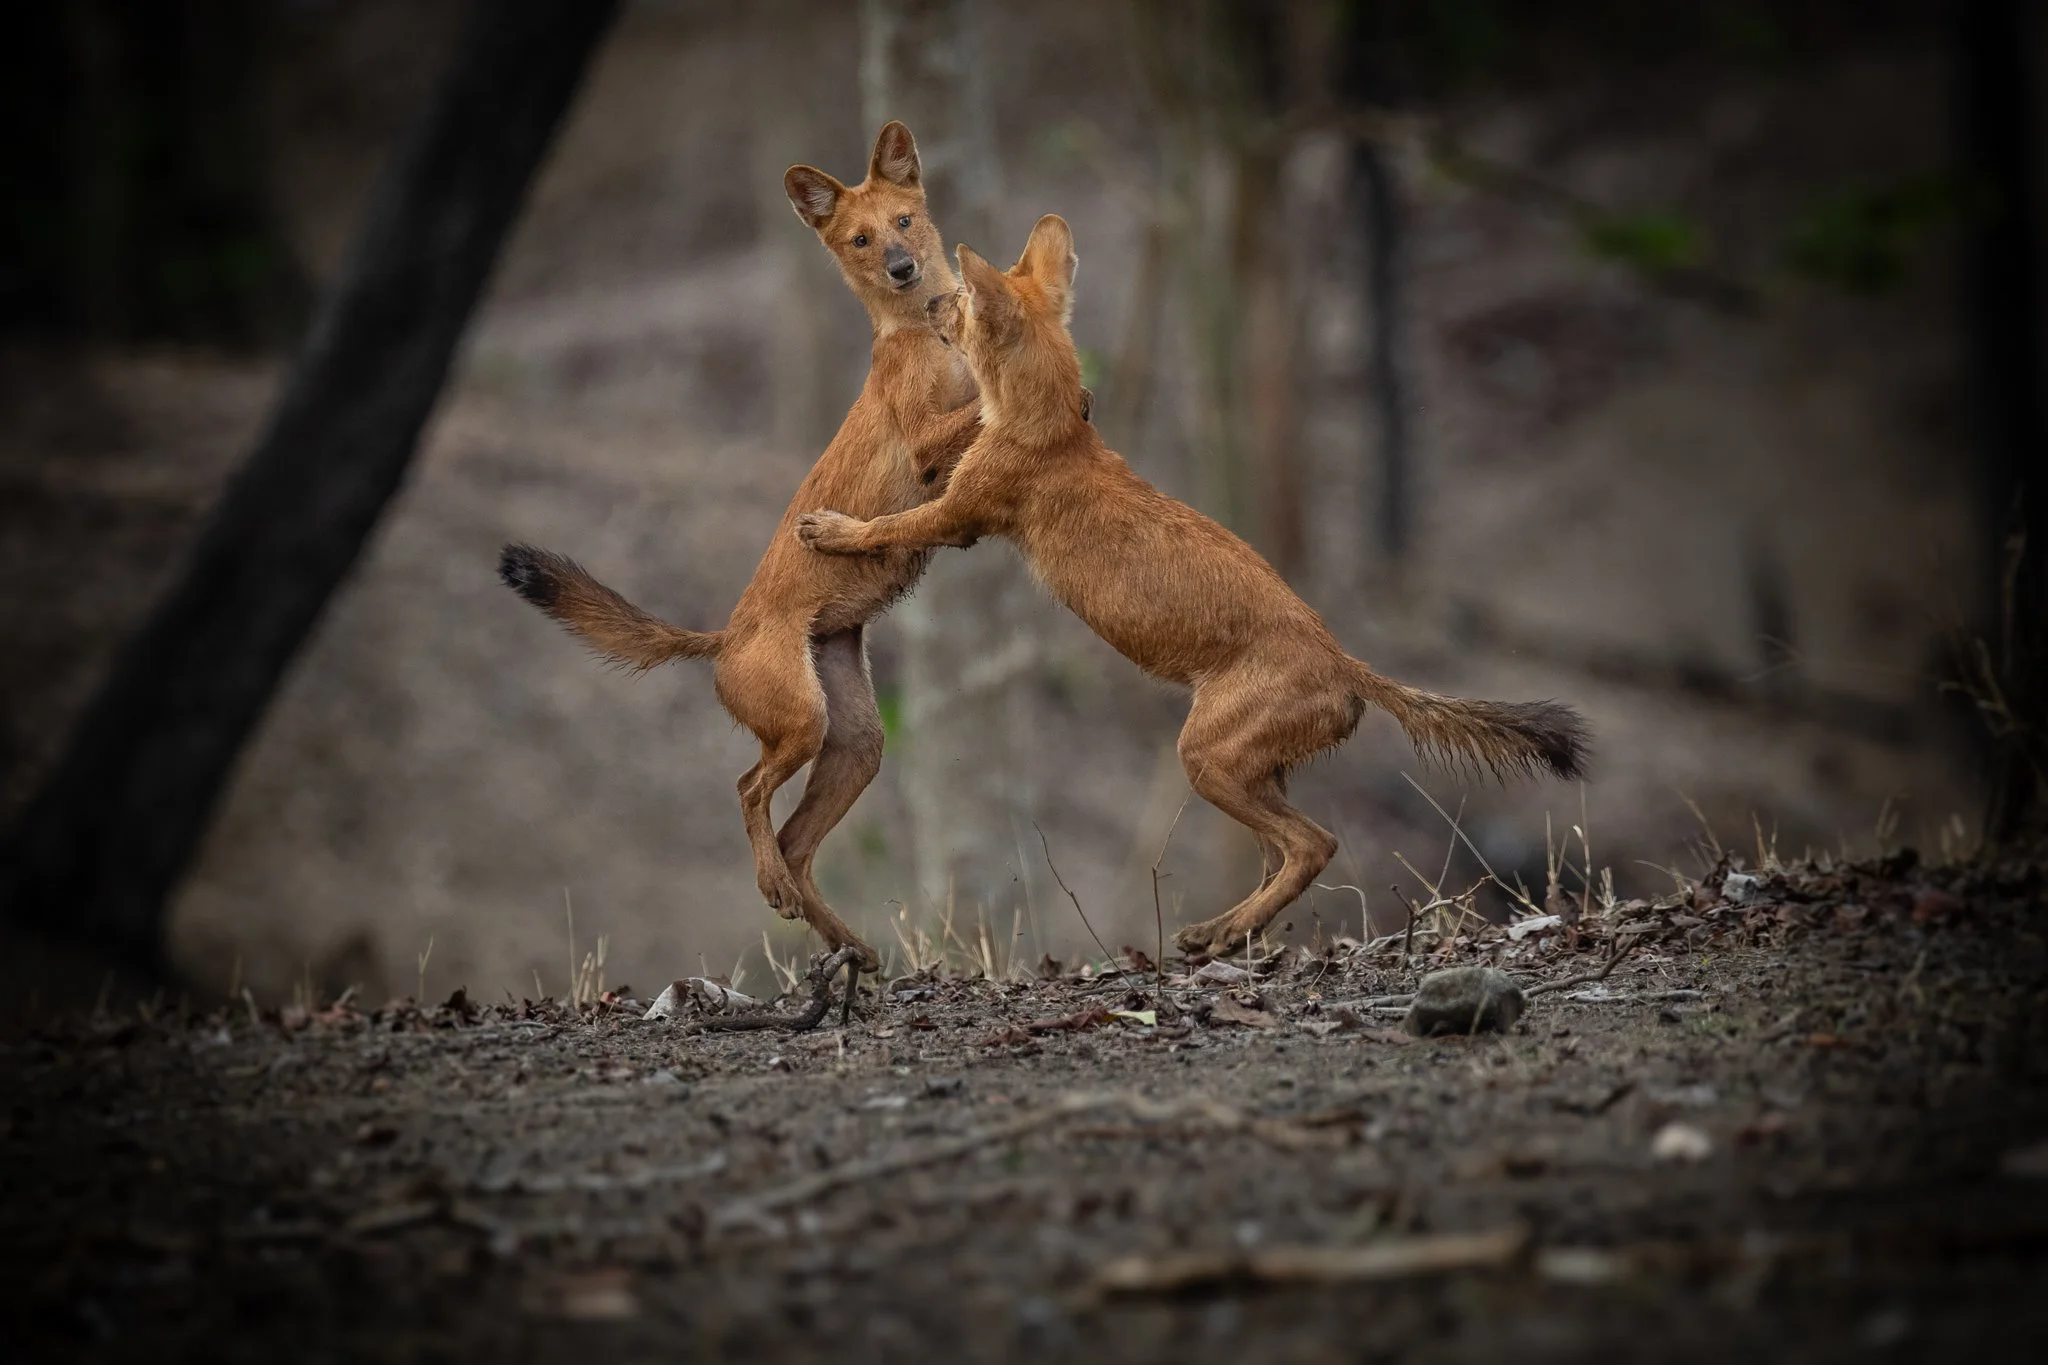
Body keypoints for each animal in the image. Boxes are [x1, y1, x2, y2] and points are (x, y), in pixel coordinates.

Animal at [500, 122, 1007, 972]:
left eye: (904, 222)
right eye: (860, 239)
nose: (901, 267)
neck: (926, 332)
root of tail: (724, 636)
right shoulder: (924, 440)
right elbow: (974, 417)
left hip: (854, 740)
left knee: (798, 839)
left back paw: (851, 946)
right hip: (800, 720)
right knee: (747, 790)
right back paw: (779, 891)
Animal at [794, 214, 1590, 959]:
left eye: (960, 299)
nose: (929, 300)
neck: (1048, 421)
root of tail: (1345, 662)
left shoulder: (961, 514)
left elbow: (887, 525)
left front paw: (828, 528)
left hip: (1207, 754)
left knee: (1312, 844)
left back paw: (1220, 932)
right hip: (1254, 768)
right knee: (1281, 853)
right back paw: (1227, 932)